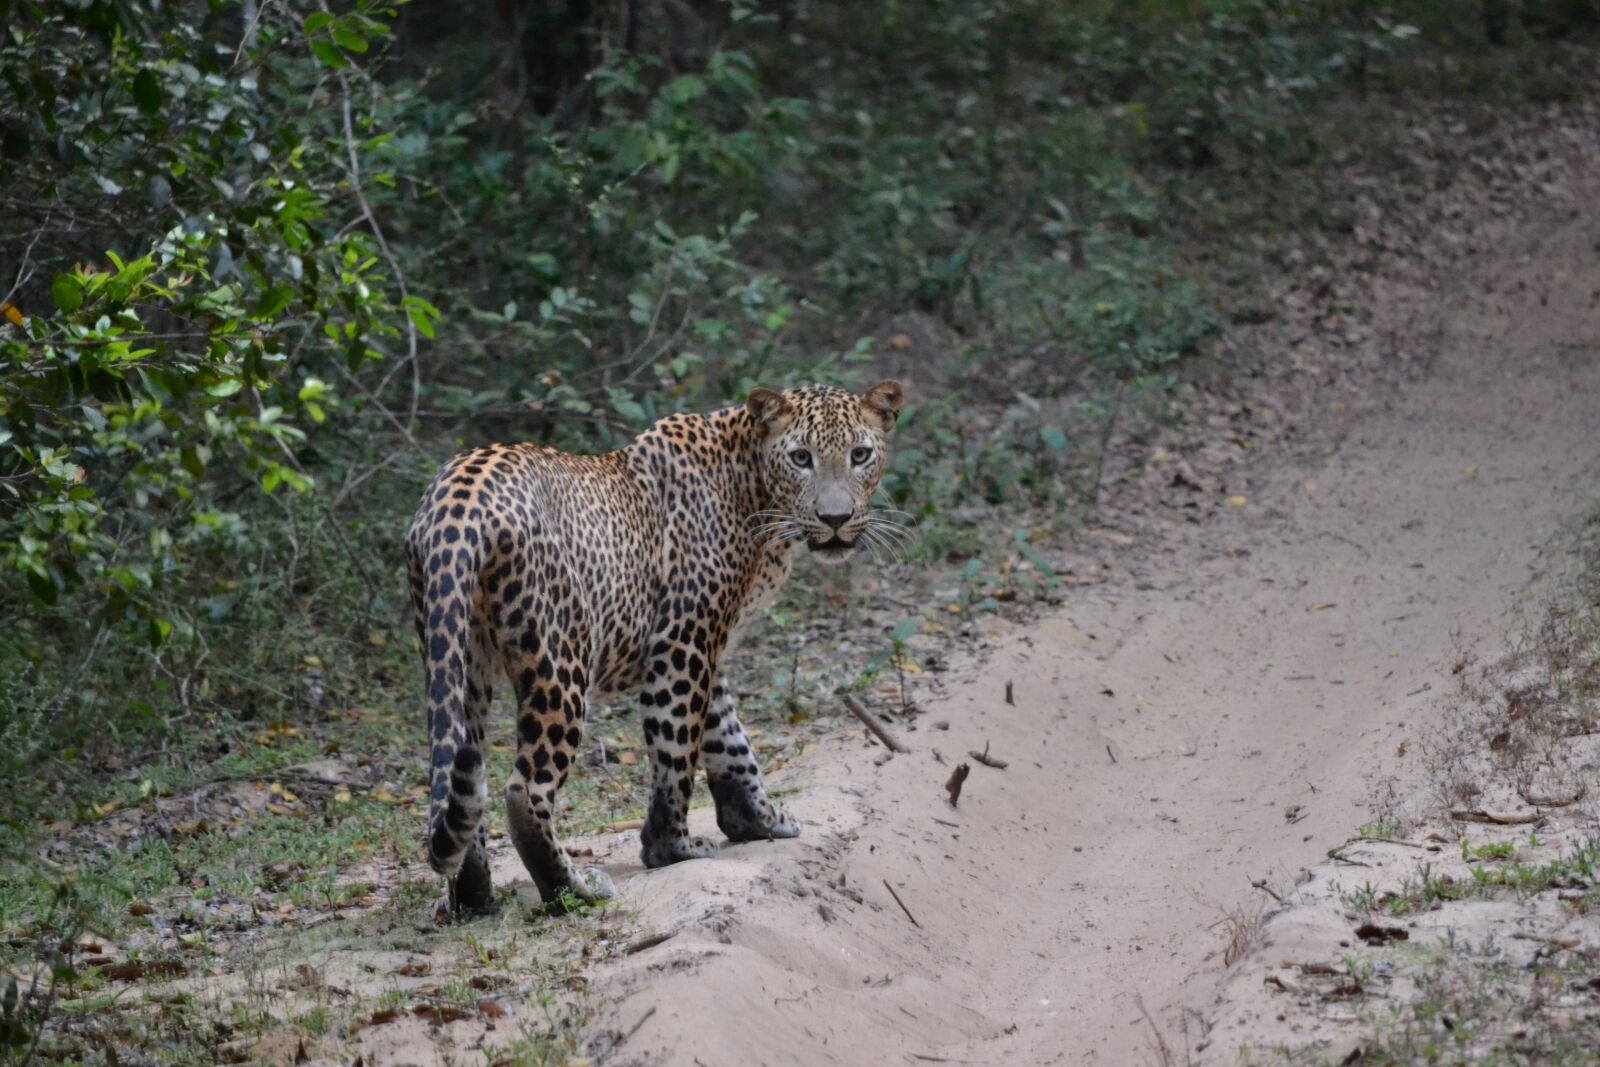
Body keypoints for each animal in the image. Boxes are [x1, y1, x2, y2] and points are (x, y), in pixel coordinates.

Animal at [405, 381, 906, 913]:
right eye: (801, 457)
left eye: (859, 455)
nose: (835, 519)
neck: (755, 489)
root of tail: (457, 502)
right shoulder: (682, 641)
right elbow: (677, 746)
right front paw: (671, 848)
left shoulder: (710, 649)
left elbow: (730, 742)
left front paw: (758, 821)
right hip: (560, 658)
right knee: (525, 789)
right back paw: (573, 889)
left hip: (458, 656)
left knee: (458, 773)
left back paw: (472, 897)